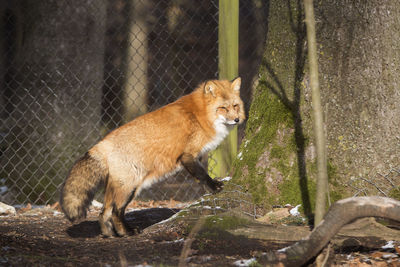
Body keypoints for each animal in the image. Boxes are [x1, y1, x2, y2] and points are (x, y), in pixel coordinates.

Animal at [61, 77, 245, 237]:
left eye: (236, 106)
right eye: (223, 108)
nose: (237, 120)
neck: (200, 116)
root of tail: (102, 143)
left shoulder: (195, 157)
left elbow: (199, 176)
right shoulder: (187, 155)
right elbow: (202, 174)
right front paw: (215, 187)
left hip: (118, 188)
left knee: (103, 213)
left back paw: (109, 234)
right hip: (129, 187)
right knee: (115, 212)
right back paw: (126, 232)